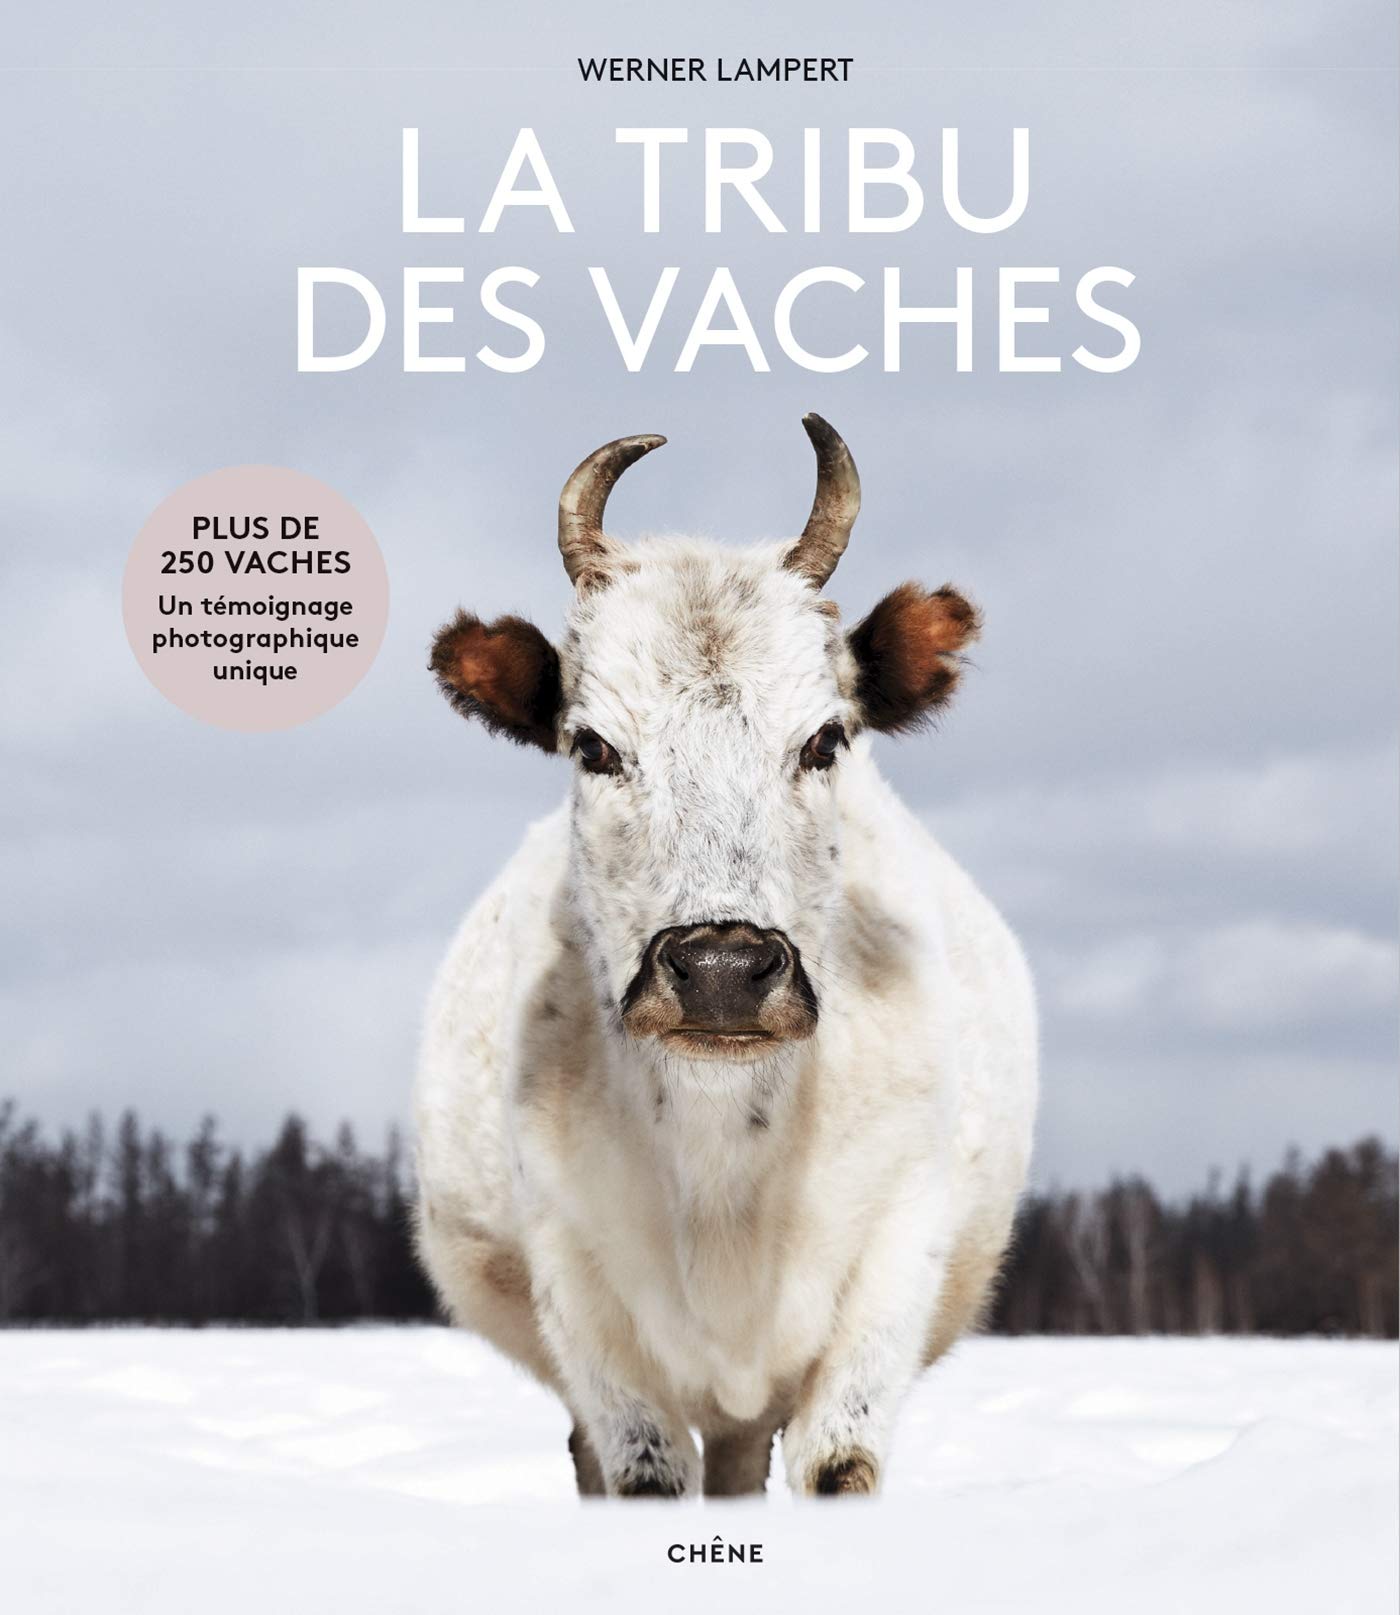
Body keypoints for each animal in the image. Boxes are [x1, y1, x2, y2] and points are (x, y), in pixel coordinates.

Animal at [414, 417, 1037, 1499]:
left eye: (825, 739)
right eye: (593, 746)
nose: (719, 973)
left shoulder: (890, 1261)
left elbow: (838, 1465)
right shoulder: (582, 1295)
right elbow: (641, 1470)